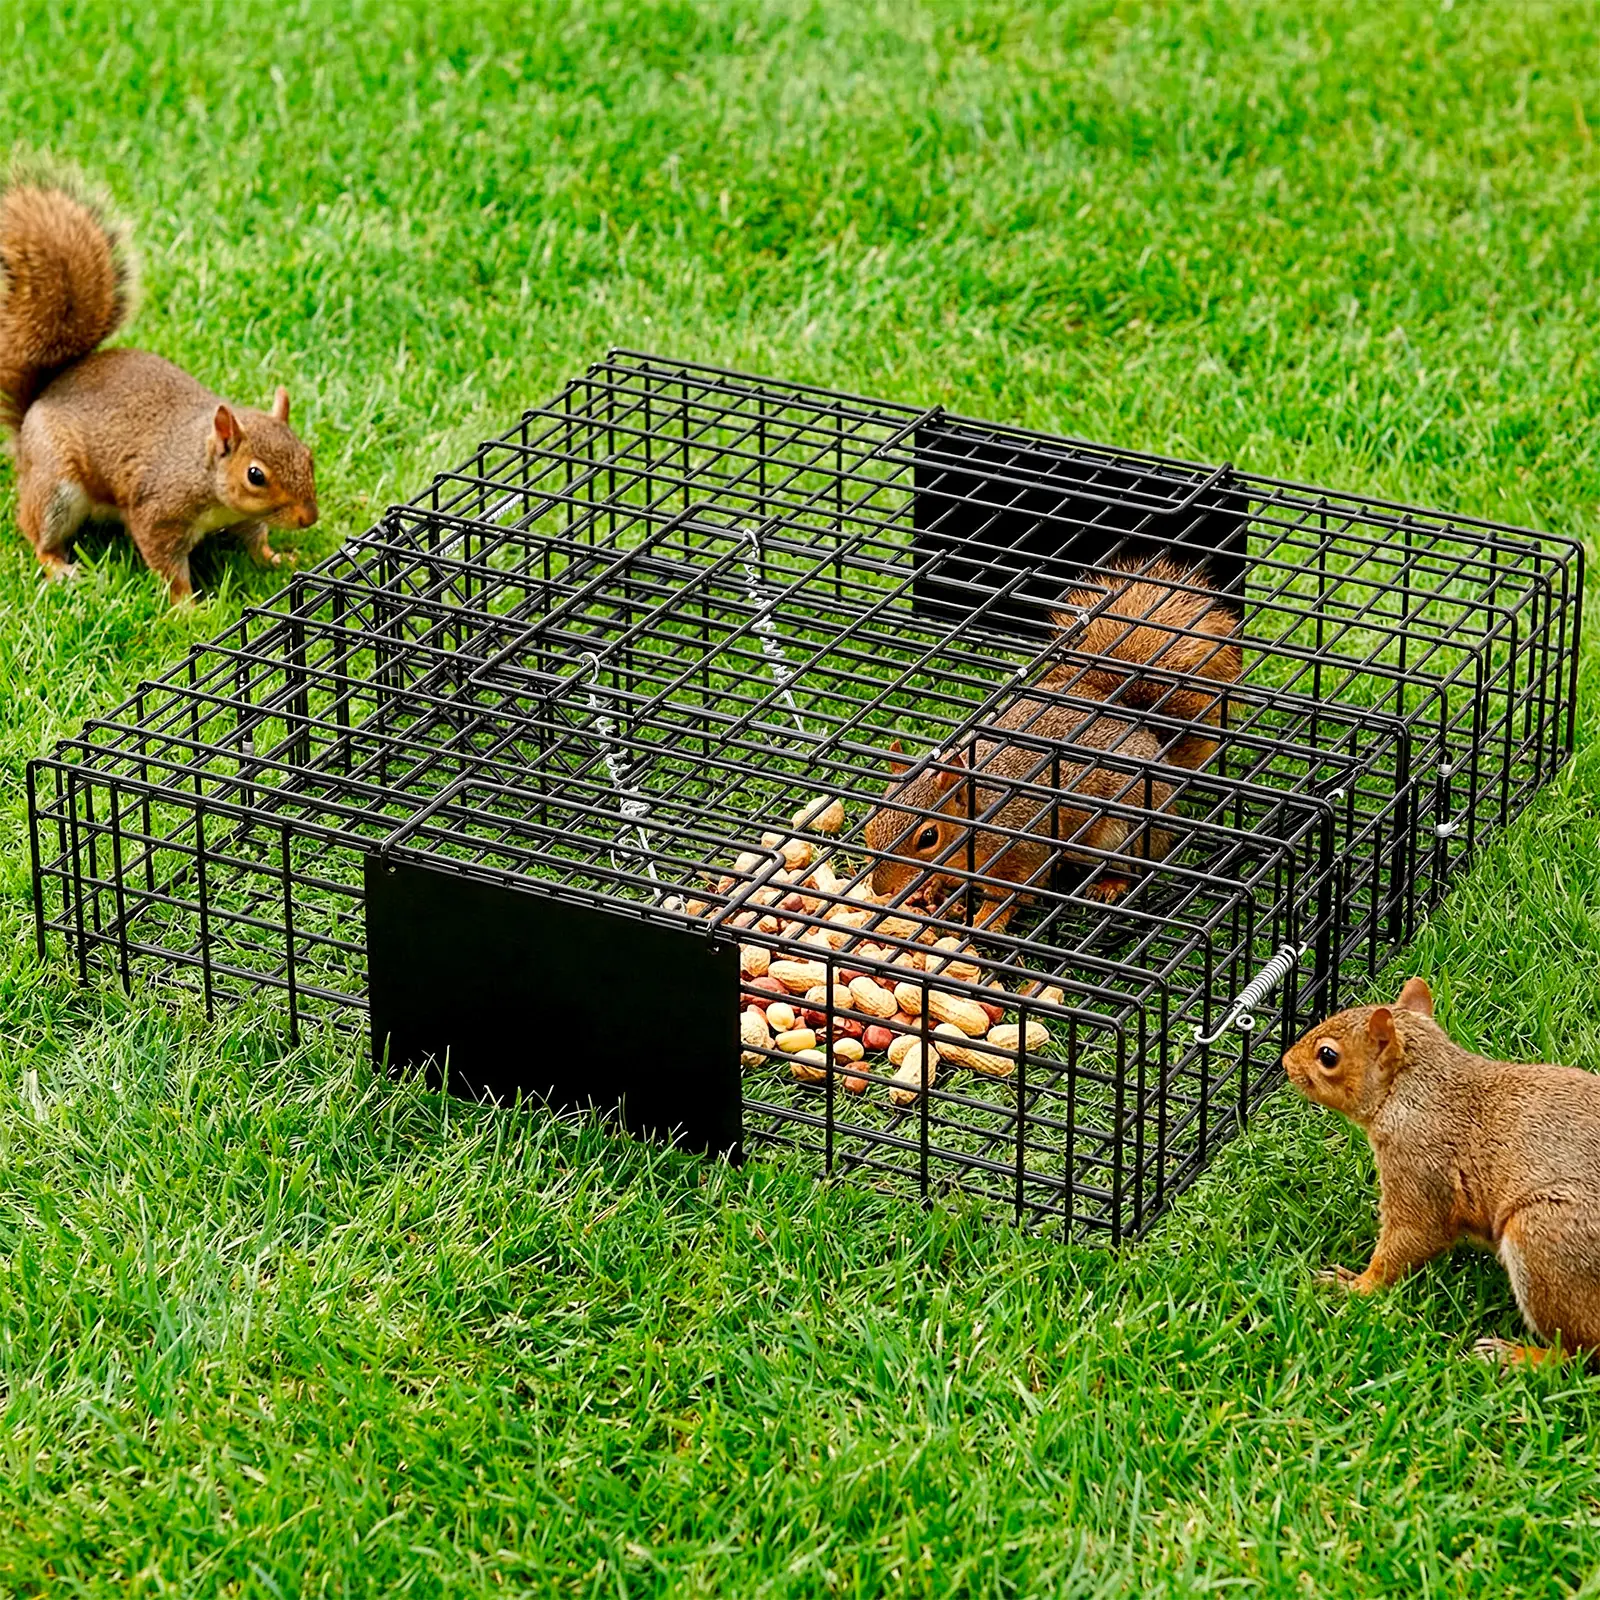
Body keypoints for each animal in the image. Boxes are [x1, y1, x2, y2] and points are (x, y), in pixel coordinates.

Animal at [0, 161, 318, 603]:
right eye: (256, 476)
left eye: (309, 456)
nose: (309, 518)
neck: (203, 469)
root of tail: (39, 398)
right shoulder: (157, 511)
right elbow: (167, 563)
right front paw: (189, 606)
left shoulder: (242, 517)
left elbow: (256, 538)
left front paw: (276, 558)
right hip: (56, 485)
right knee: (36, 530)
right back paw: (60, 567)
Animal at [862, 555, 1242, 931]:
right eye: (871, 819)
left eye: (928, 838)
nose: (880, 888)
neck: (981, 817)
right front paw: (930, 890)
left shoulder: (1022, 854)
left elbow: (1012, 895)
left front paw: (985, 920)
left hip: (1124, 831)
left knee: (1131, 866)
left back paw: (1110, 884)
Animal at [1284, 977, 1600, 1365]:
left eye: (1328, 1056)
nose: (1285, 1062)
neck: (1415, 1088)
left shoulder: (1419, 1163)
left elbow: (1415, 1234)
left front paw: (1355, 1286)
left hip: (1546, 1244)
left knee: (1579, 1352)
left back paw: (1514, 1356)